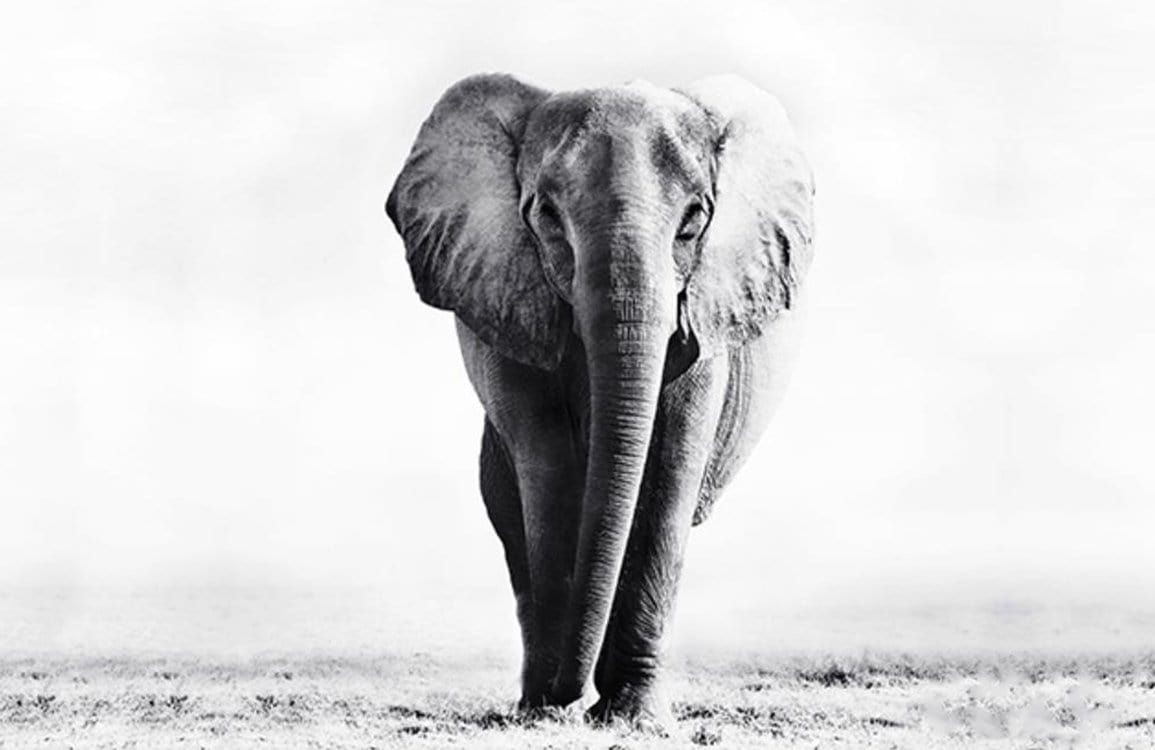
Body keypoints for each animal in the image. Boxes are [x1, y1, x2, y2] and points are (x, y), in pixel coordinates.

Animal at [386, 72, 814, 731]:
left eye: (694, 219)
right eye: (546, 215)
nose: (571, 692)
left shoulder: (706, 311)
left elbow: (666, 474)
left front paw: (633, 719)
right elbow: (549, 470)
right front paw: (548, 712)